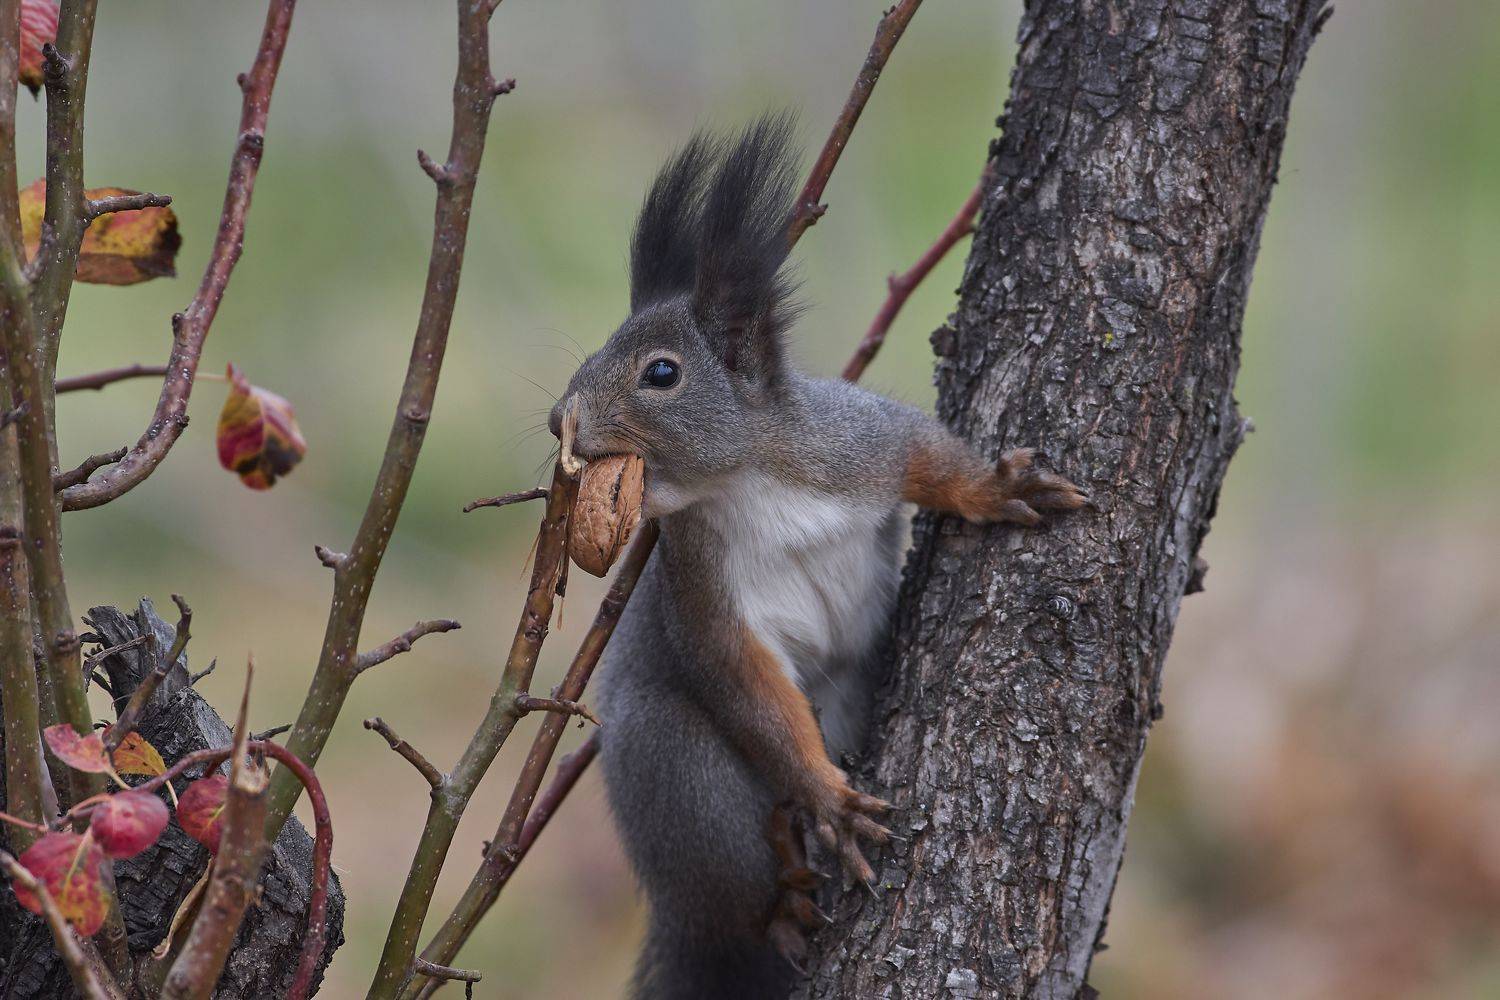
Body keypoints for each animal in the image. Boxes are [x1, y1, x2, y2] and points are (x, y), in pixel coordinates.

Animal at [548, 115, 1085, 999]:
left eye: (661, 372)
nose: (561, 417)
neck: (746, 481)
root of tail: (678, 915)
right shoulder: (701, 586)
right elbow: (746, 682)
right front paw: (831, 800)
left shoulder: (859, 442)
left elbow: (928, 454)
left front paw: (994, 487)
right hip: (684, 782)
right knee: (736, 891)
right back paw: (785, 900)